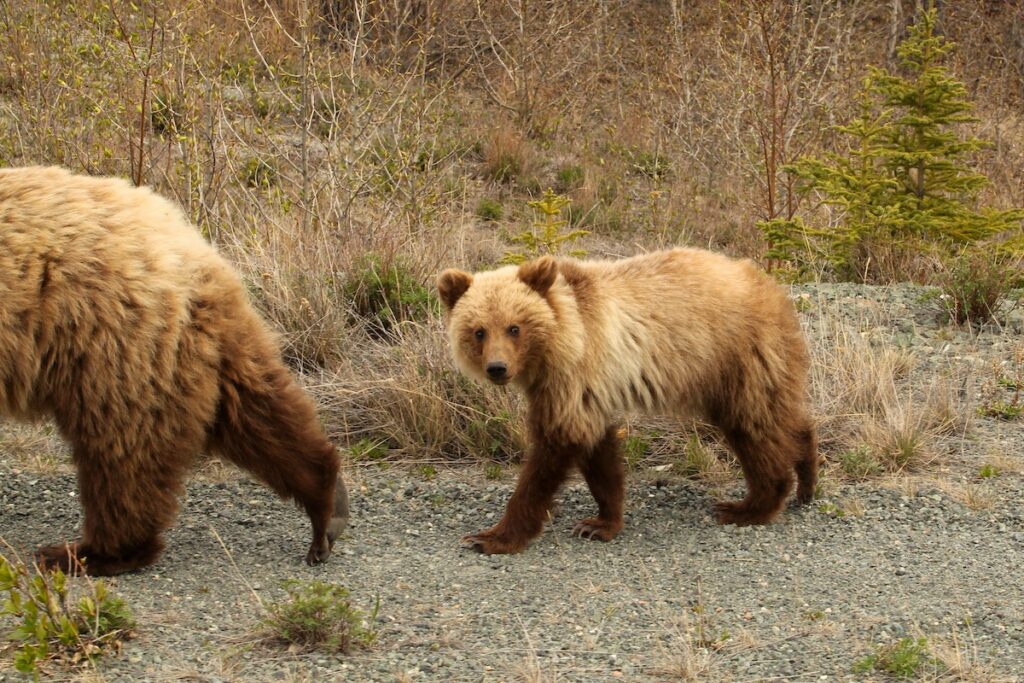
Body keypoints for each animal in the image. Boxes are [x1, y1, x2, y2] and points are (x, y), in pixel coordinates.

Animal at [0, 166, 350, 577]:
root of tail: (184, 246)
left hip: (111, 341)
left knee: (123, 449)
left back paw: (87, 552)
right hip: (194, 343)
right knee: (258, 412)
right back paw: (327, 509)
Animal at [438, 249, 815, 557]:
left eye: (514, 327)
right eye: (479, 331)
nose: (497, 368)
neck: (557, 345)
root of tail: (769, 285)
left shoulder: (576, 373)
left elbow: (556, 445)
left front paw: (491, 537)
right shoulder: (585, 389)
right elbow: (598, 454)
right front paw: (600, 523)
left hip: (737, 353)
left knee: (754, 425)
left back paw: (748, 506)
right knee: (780, 418)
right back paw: (807, 476)